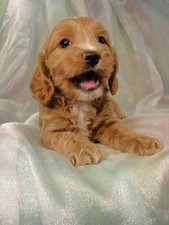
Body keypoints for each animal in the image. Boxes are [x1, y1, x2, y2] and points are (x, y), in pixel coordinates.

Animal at [29, 16, 163, 165]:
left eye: (101, 39)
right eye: (64, 43)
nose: (93, 56)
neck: (81, 102)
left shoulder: (108, 122)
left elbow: (123, 131)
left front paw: (143, 140)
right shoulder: (51, 131)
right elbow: (68, 136)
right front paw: (85, 149)